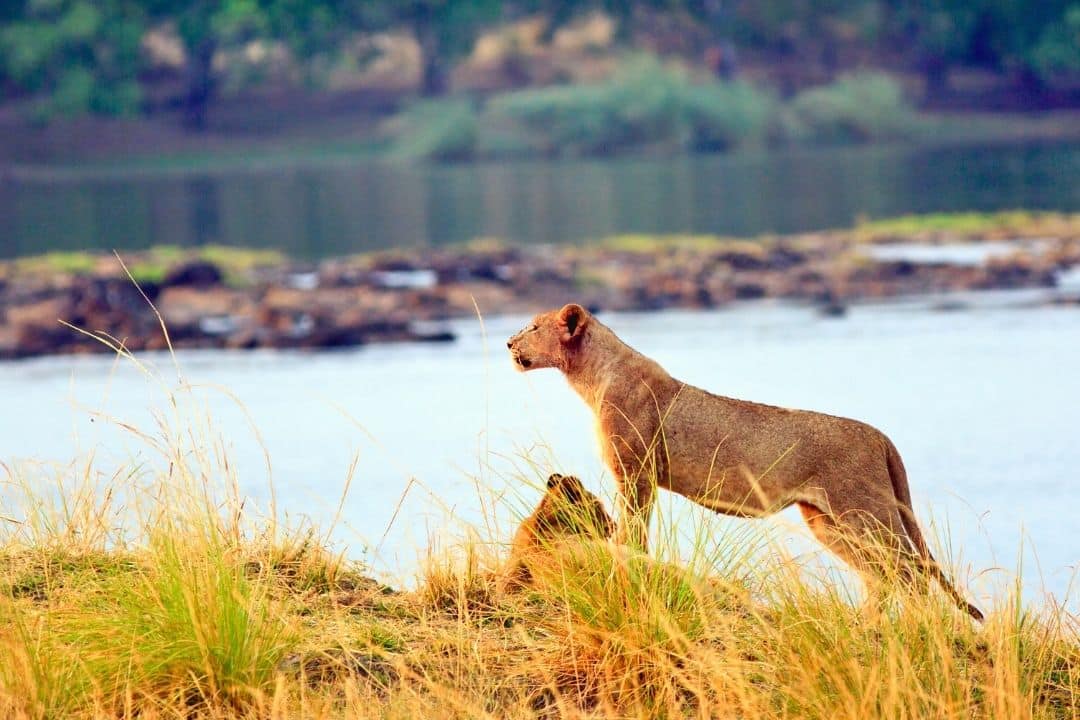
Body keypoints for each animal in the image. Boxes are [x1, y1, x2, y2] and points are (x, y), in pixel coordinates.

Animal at [507, 303, 984, 620]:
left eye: (534, 326)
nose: (509, 341)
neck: (591, 373)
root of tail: (880, 436)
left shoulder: (635, 474)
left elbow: (634, 531)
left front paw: (627, 564)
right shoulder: (639, 477)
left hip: (867, 514)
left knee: (910, 573)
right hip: (828, 521)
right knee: (882, 575)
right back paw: (868, 627)